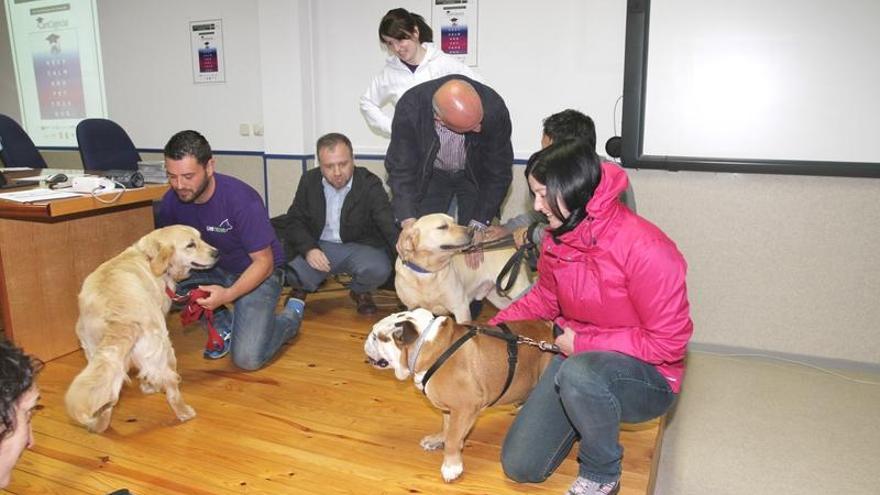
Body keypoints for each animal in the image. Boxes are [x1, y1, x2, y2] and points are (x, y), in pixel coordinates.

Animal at [65, 226, 217, 434]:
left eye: (200, 238)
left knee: (108, 396)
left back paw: (98, 426)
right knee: (169, 383)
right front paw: (150, 387)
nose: (216, 253)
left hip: (98, 354)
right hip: (159, 343)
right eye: (190, 245)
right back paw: (184, 411)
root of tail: (120, 319)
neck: (149, 256)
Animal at [362, 308, 552, 482]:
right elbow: (447, 427)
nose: (367, 340)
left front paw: (451, 466)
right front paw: (438, 440)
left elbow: (453, 439)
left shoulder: (465, 407)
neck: (425, 345)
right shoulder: (450, 408)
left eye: (375, 336)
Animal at [398, 213, 532, 322]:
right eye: (443, 227)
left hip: (517, 288)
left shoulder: (461, 308)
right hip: (498, 297)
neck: (427, 272)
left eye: (454, 221)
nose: (471, 232)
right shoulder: (412, 308)